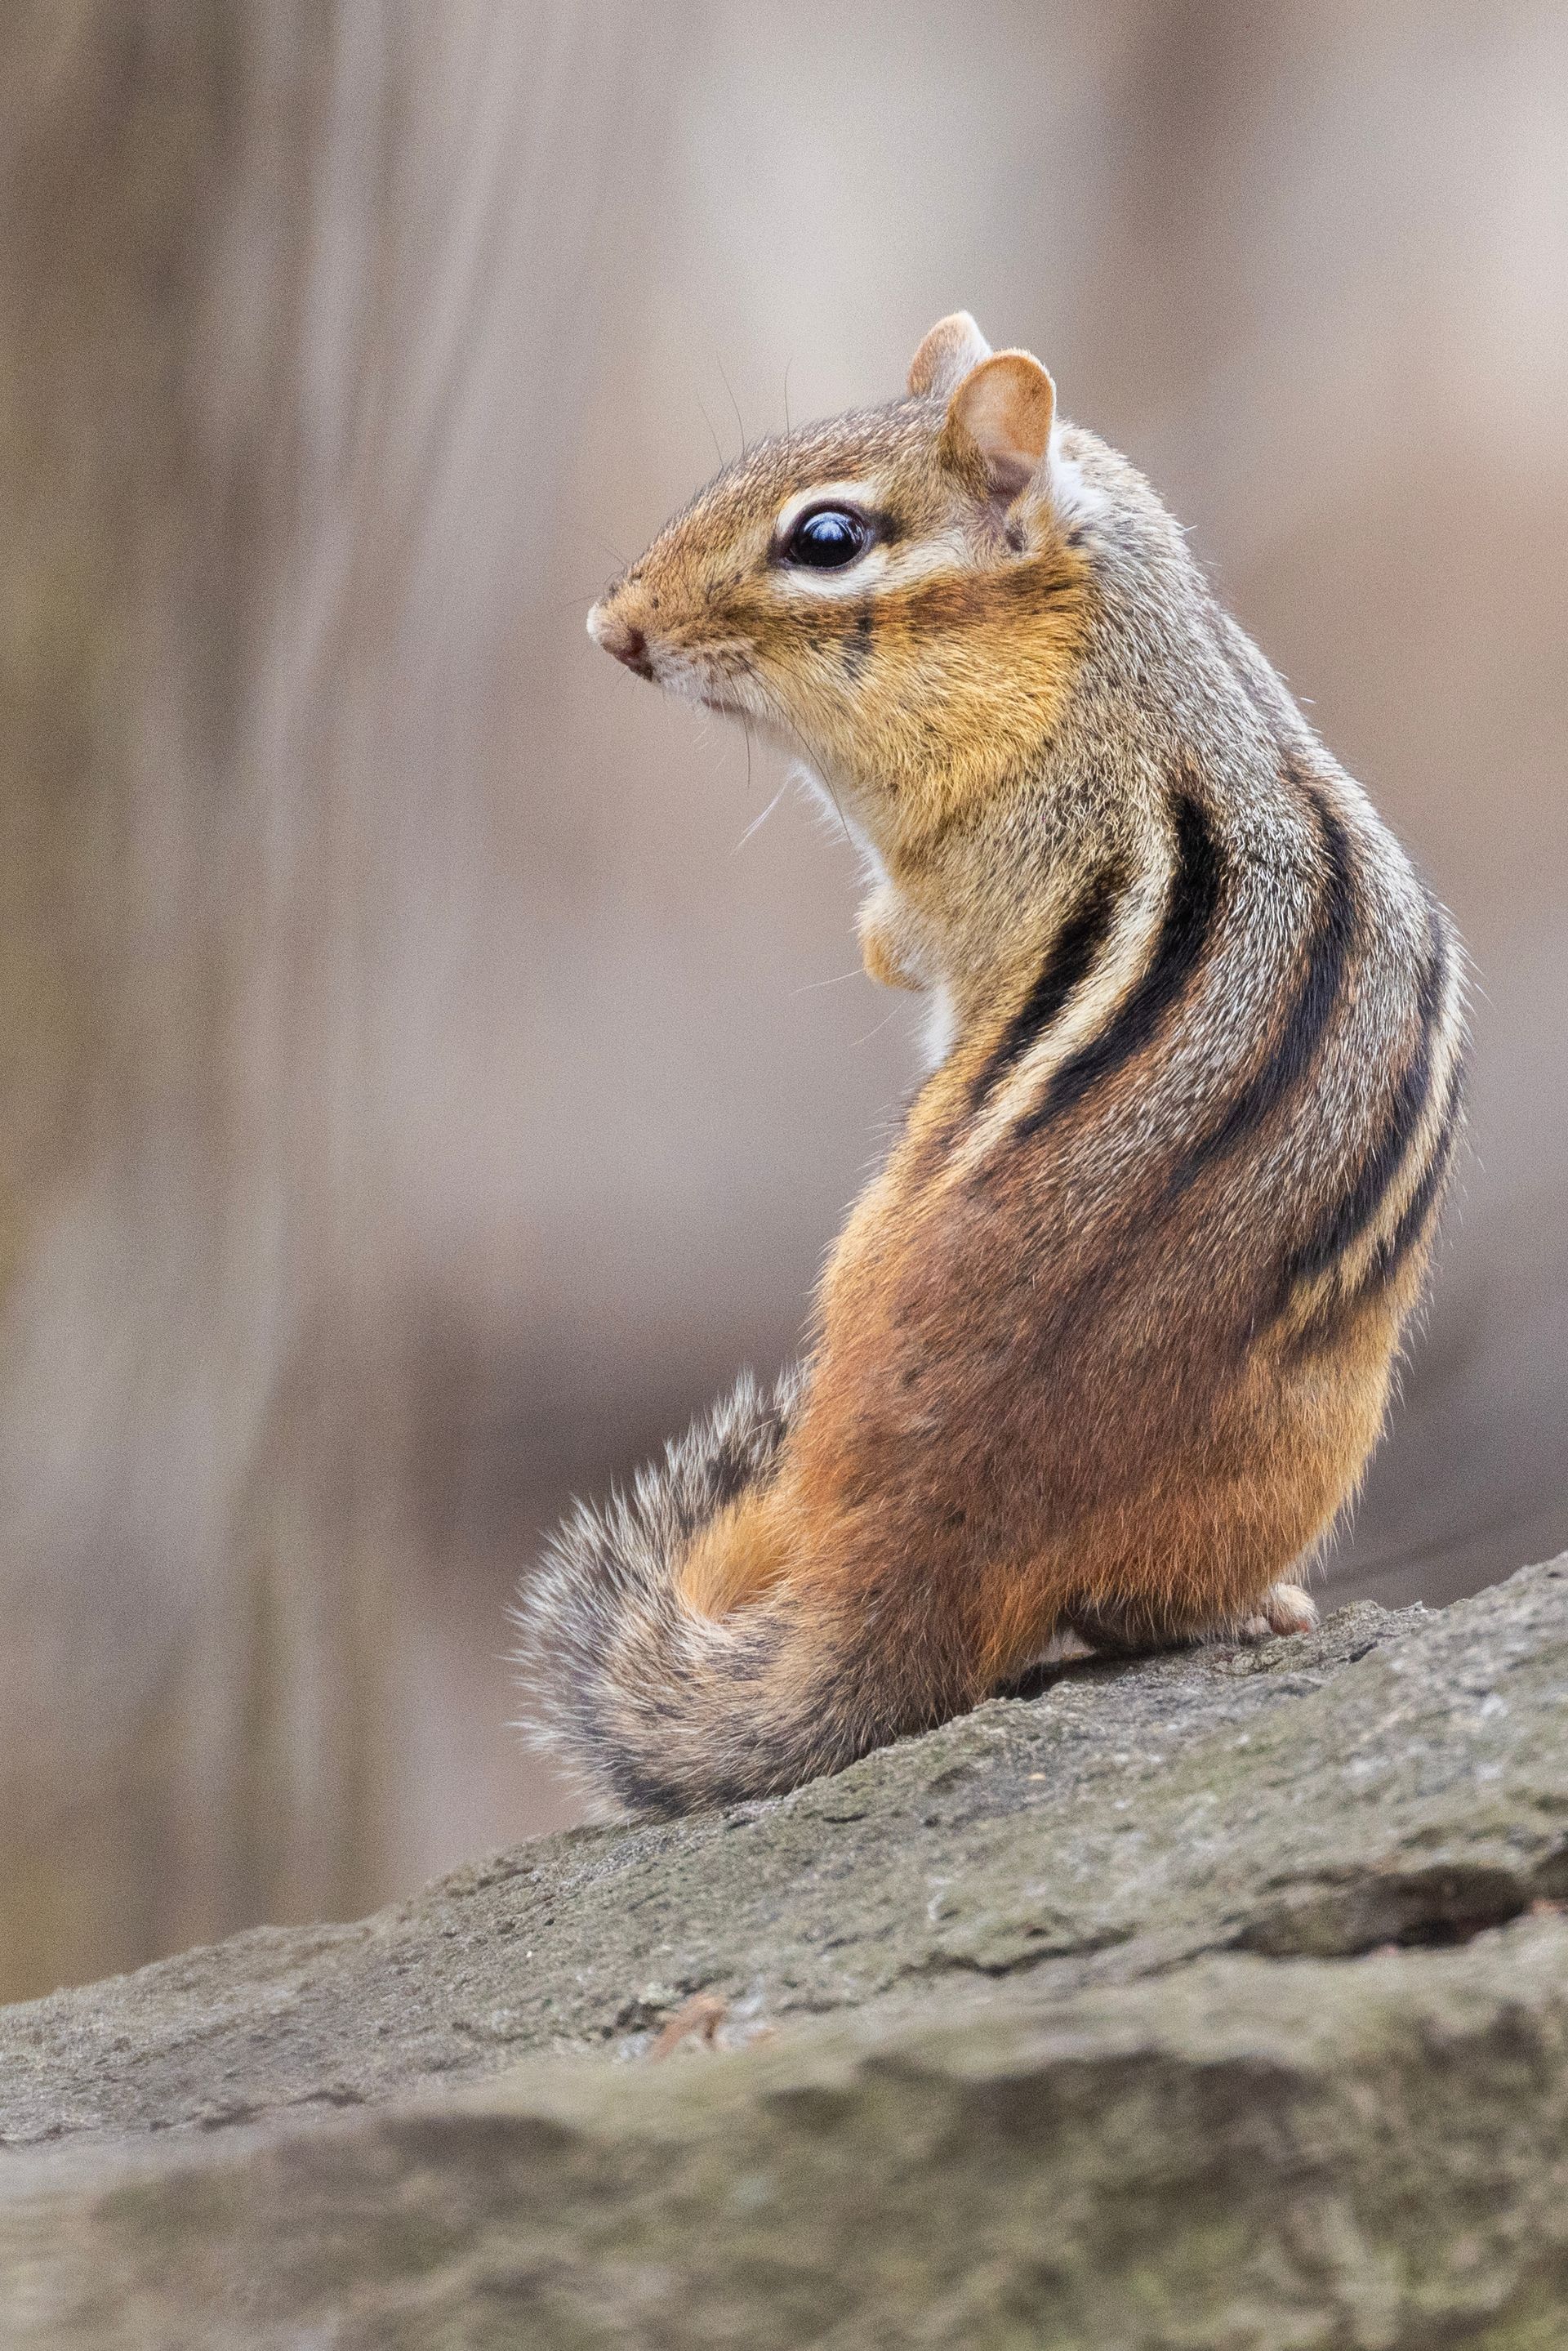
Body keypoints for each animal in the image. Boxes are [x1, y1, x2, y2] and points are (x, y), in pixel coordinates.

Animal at [514, 312, 1466, 1821]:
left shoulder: (953, 868)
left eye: (827, 537)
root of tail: (932, 1535)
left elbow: (907, 934)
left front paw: (873, 945)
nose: (616, 628)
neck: (1100, 652)